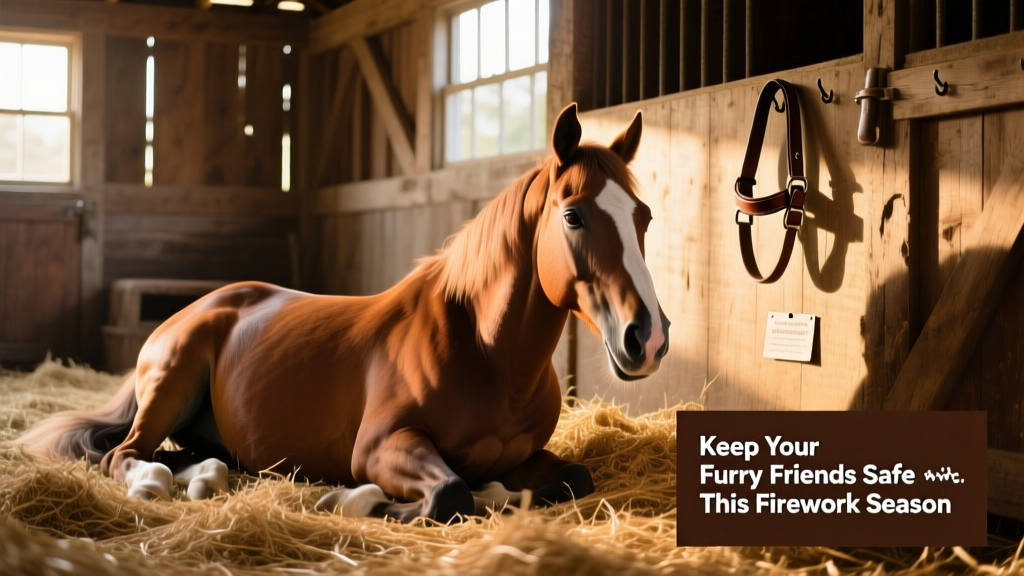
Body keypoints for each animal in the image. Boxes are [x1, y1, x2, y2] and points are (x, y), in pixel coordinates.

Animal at [18, 103, 670, 523]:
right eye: (574, 216)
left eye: (643, 217)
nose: (649, 337)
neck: (487, 356)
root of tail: (199, 307)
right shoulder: (382, 446)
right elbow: (450, 496)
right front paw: (353, 500)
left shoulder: (529, 457)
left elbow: (569, 479)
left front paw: (497, 491)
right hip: (168, 390)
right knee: (125, 455)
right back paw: (157, 484)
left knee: (191, 456)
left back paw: (206, 479)